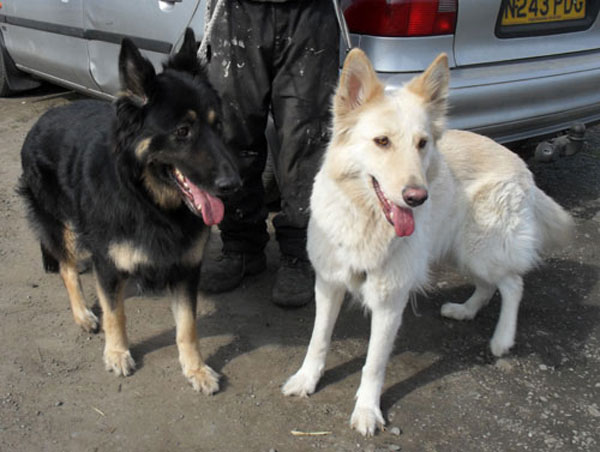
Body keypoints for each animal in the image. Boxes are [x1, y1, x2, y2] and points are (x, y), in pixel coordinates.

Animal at [282, 48, 572, 434]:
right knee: (488, 285)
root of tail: (520, 164)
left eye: (422, 144)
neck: (367, 219)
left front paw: (367, 410)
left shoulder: (390, 301)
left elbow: (374, 363)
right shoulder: (329, 283)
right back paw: (465, 310)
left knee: (513, 283)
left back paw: (501, 339)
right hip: (458, 251)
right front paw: (306, 379)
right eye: (382, 141)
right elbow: (318, 339)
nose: (417, 198)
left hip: (480, 249)